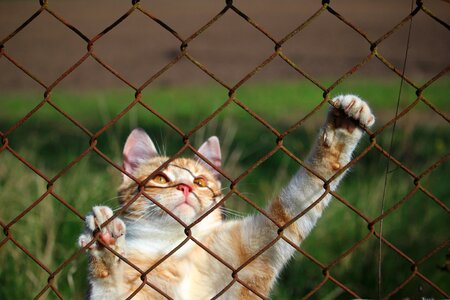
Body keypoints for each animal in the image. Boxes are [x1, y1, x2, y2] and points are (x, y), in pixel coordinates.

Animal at [78, 93, 376, 298]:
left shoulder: (260, 245)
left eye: (200, 181)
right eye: (161, 179)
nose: (186, 187)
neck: (176, 248)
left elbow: (304, 191)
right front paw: (104, 245)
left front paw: (342, 128)